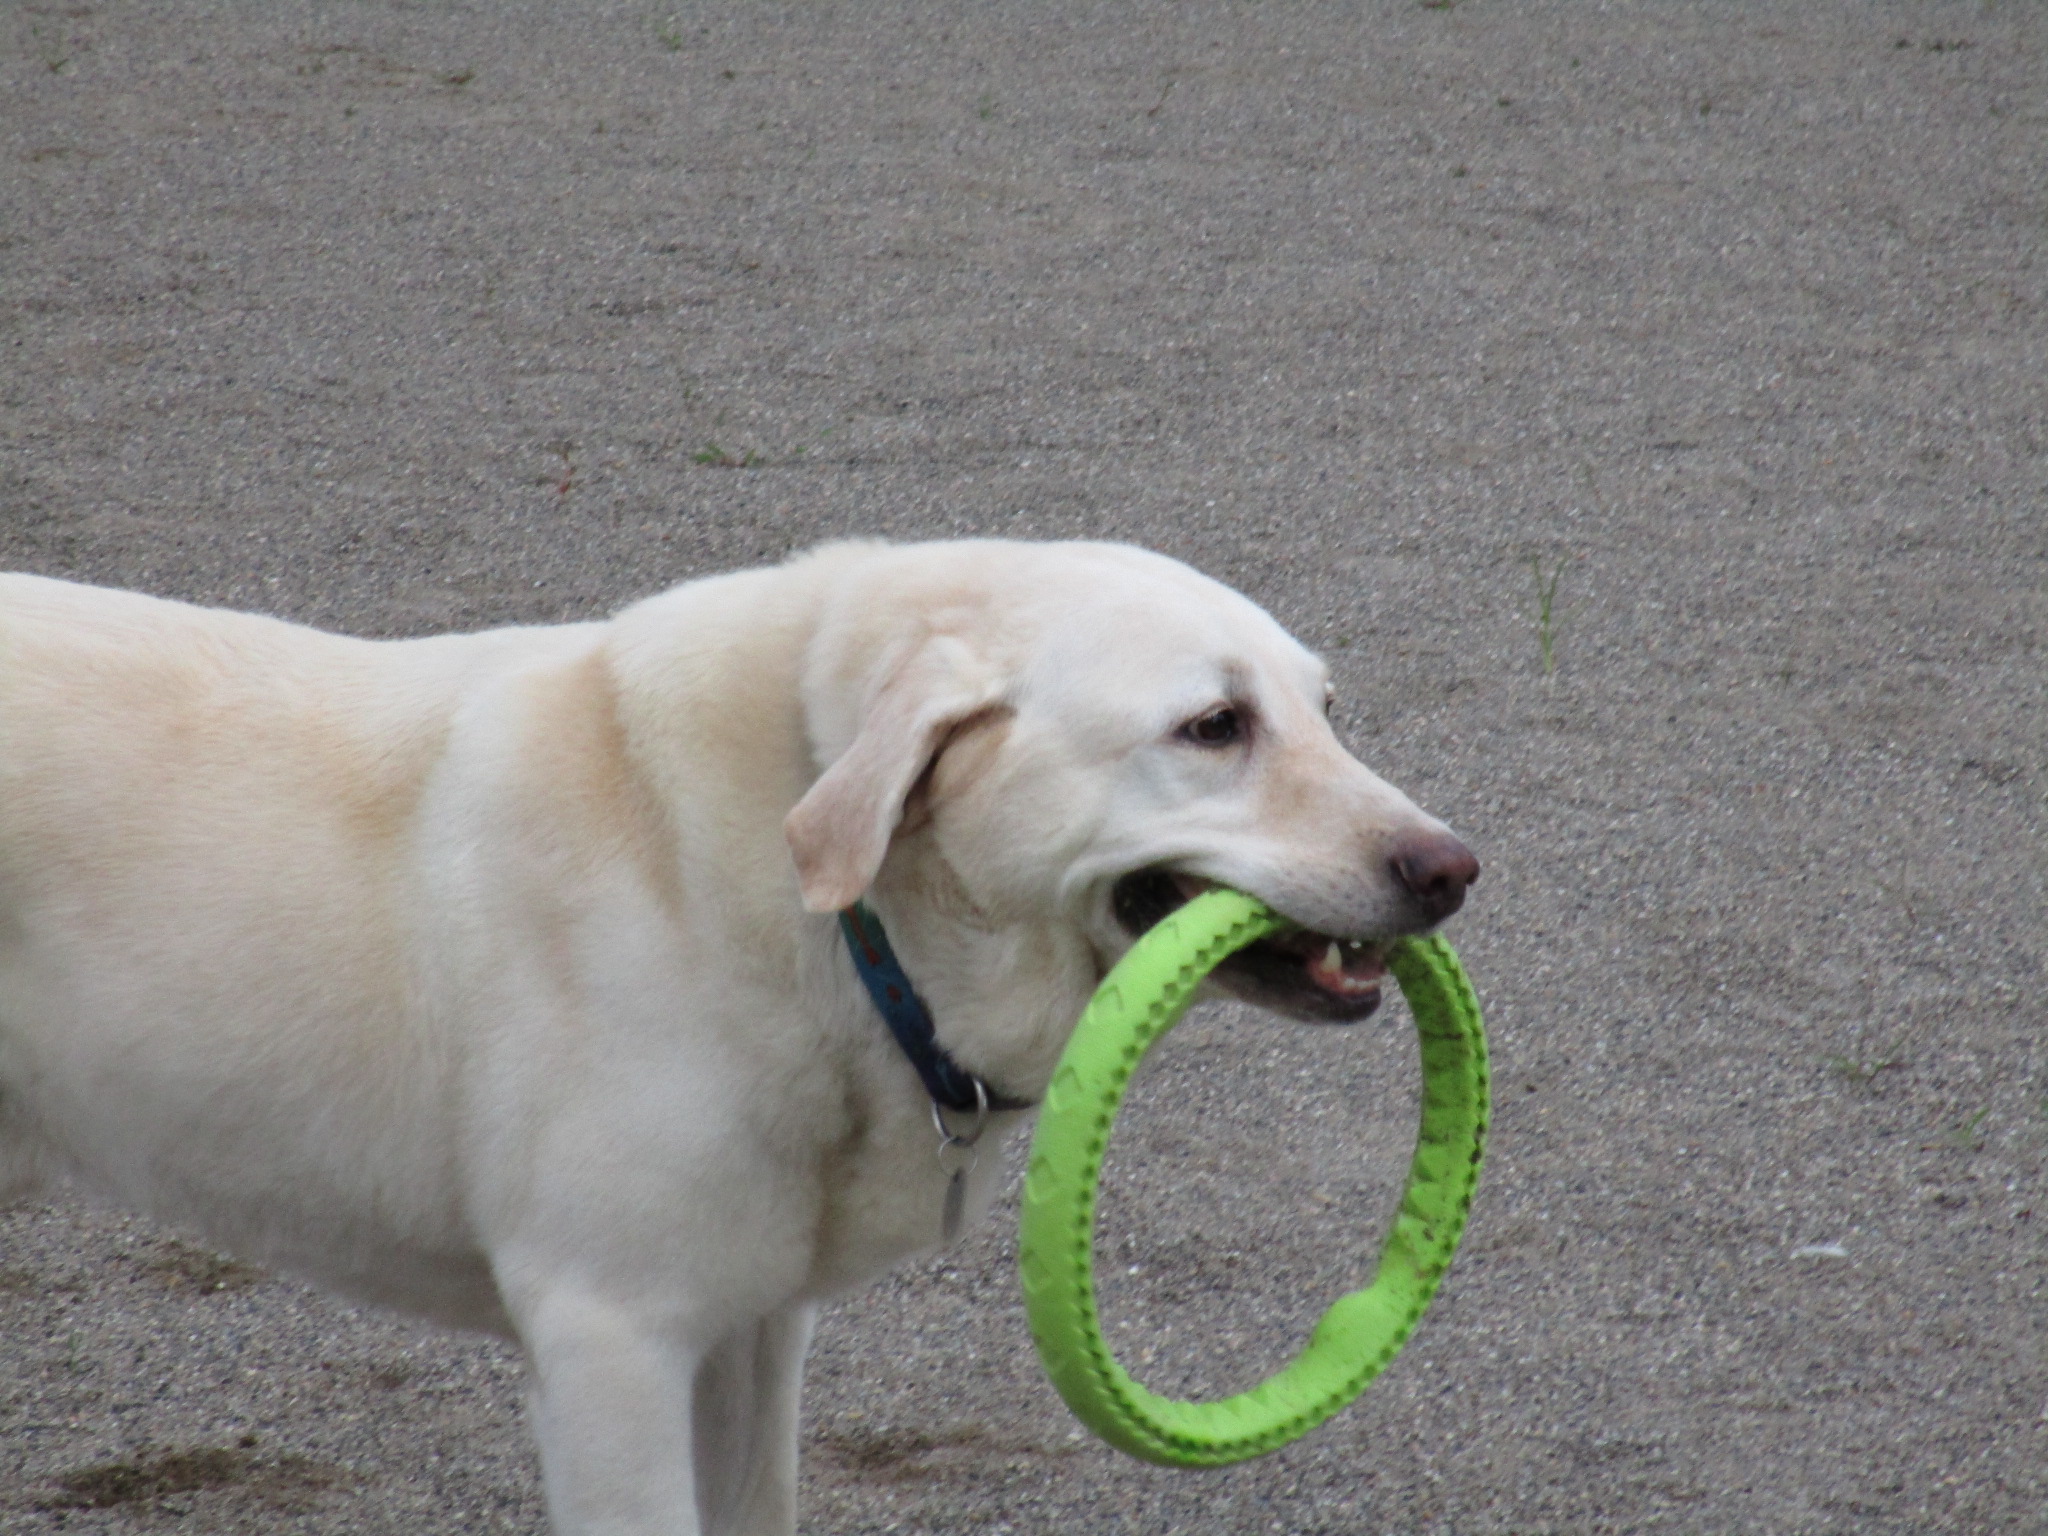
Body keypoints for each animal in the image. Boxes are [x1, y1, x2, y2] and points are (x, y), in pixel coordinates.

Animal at [0, 544, 1474, 1536]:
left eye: (1325, 710)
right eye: (1212, 728)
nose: (1451, 870)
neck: (837, 927)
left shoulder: (752, 1339)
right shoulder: (611, 1345)